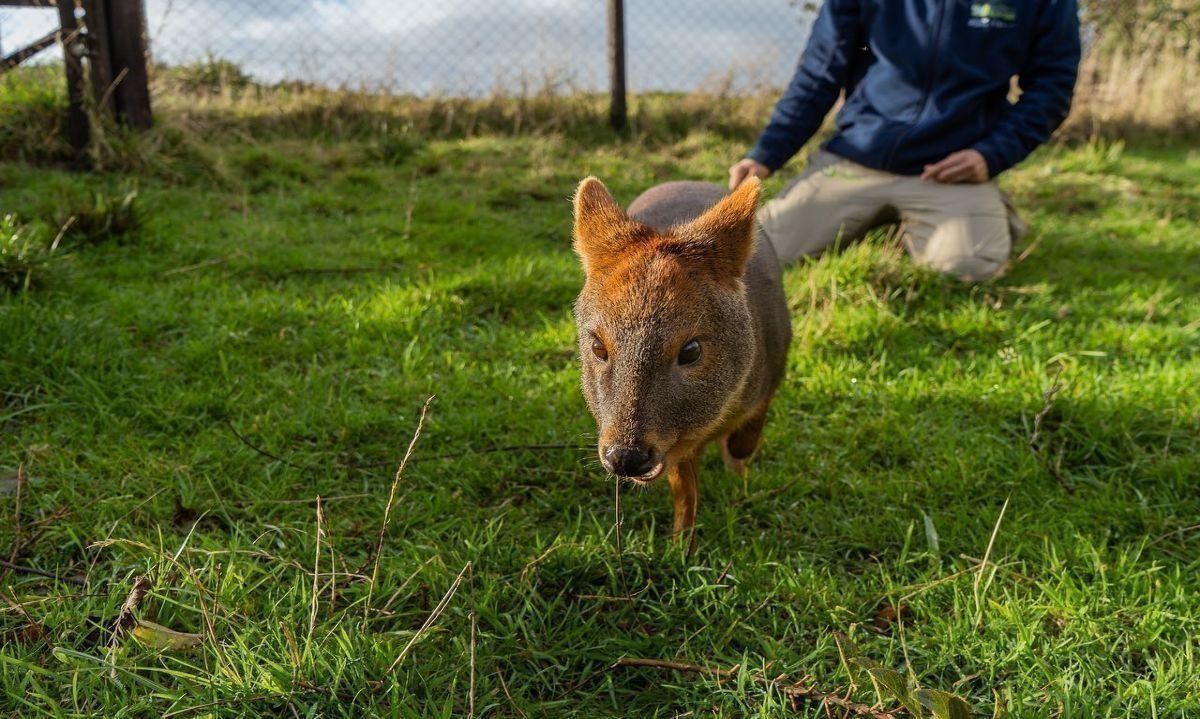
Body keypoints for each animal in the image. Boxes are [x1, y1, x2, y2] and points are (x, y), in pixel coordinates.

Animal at [573, 178, 796, 544]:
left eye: (691, 350)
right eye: (597, 346)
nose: (625, 457)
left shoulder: (772, 378)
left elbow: (743, 444)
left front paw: (741, 484)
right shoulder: (673, 448)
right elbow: (685, 490)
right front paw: (681, 542)